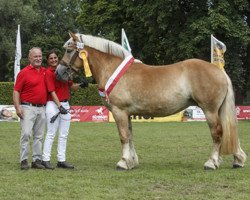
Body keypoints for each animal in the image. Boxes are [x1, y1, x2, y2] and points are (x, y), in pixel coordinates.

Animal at [56, 32, 246, 170]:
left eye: (69, 50)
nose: (59, 72)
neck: (112, 69)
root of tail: (218, 71)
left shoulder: (119, 111)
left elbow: (123, 136)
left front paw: (123, 162)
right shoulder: (127, 113)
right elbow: (130, 136)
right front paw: (131, 162)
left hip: (210, 110)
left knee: (217, 133)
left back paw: (211, 163)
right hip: (218, 110)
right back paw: (237, 160)